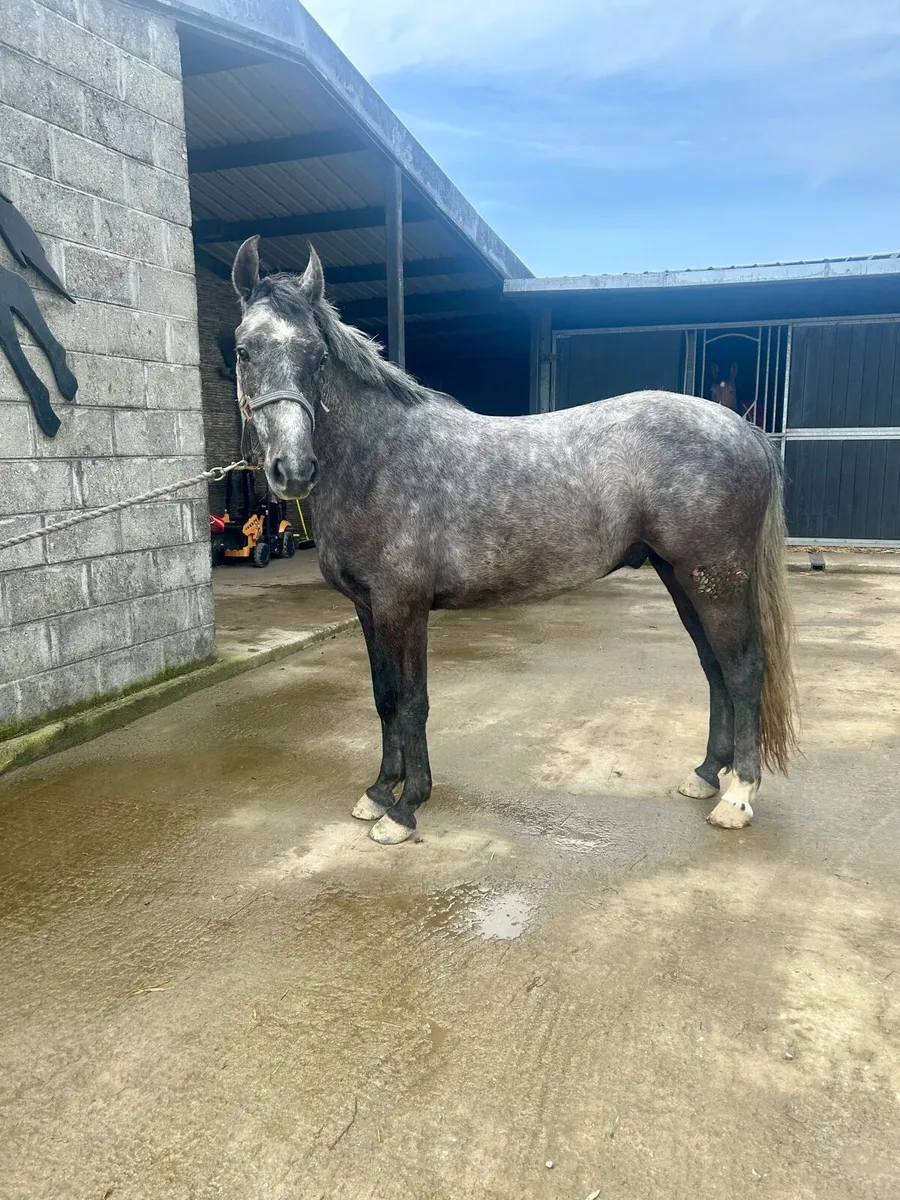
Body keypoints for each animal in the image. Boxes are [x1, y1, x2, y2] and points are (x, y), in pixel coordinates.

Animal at [230, 237, 798, 845]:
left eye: (317, 357)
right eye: (243, 351)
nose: (292, 470)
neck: (379, 457)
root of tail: (743, 429)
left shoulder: (402, 606)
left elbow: (412, 702)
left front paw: (406, 808)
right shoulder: (368, 608)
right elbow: (384, 699)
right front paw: (379, 792)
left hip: (714, 578)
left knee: (743, 670)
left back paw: (738, 796)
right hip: (681, 577)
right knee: (714, 669)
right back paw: (707, 775)